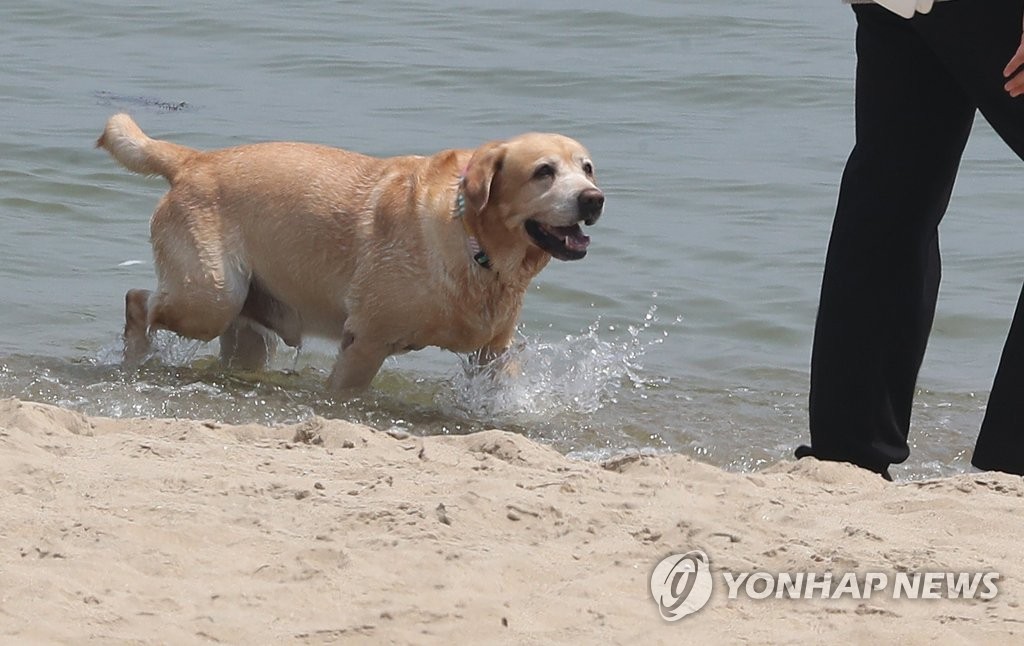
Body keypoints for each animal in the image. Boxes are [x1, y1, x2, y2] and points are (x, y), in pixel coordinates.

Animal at [95, 114, 598, 395]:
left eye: (588, 168)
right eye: (544, 172)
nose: (595, 199)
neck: (475, 245)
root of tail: (193, 160)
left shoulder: (490, 352)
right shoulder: (366, 341)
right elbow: (346, 392)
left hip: (245, 326)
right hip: (209, 296)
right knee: (137, 300)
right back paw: (135, 355)